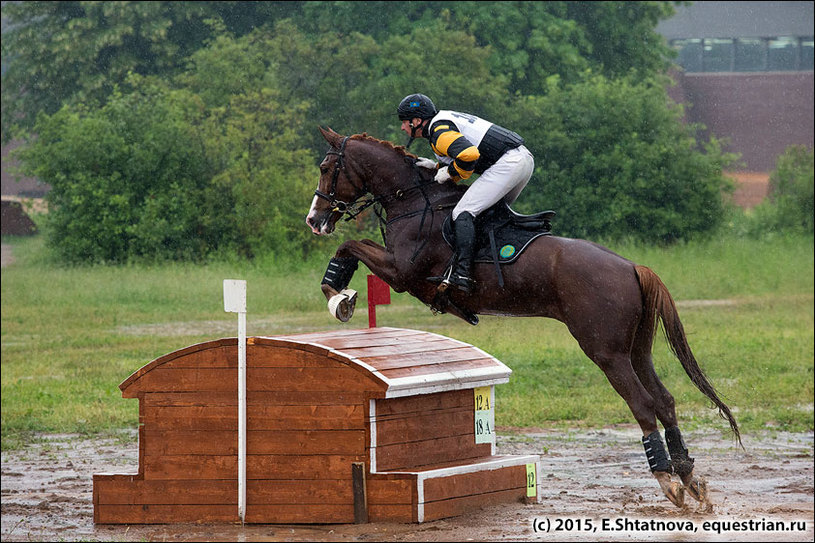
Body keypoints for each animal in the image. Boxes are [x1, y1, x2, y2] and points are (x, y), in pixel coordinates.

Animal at [306, 126, 740, 510]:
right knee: (664, 401)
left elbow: (349, 246)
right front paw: (341, 295)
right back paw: (688, 476)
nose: (314, 219)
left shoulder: (402, 272)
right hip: (636, 350)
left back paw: (667, 479)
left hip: (607, 353)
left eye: (327, 167)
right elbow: (351, 247)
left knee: (644, 404)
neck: (413, 199)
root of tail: (631, 266)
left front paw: (338, 298)